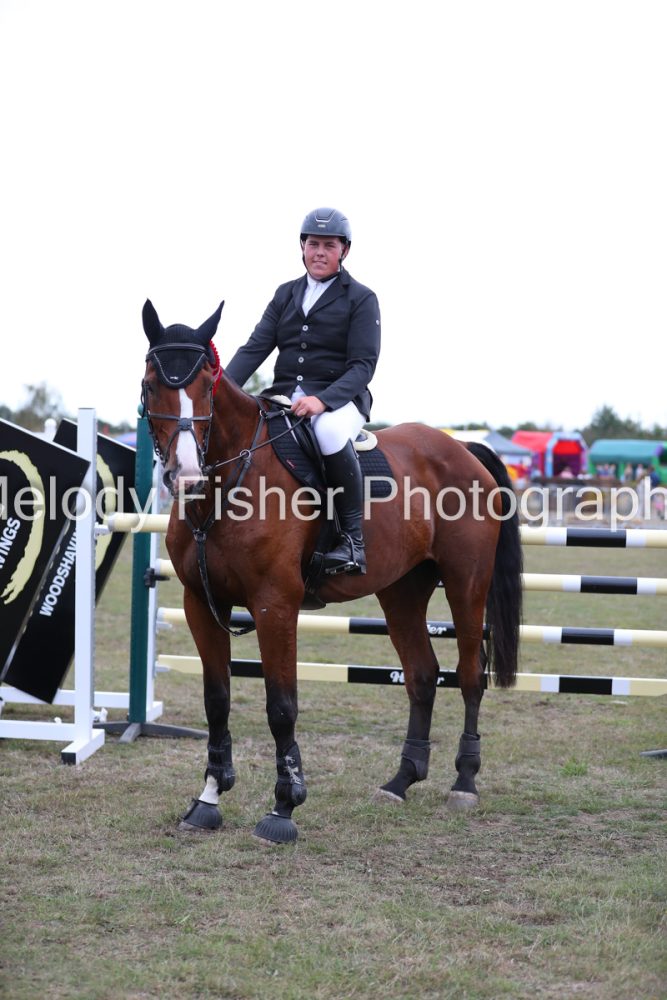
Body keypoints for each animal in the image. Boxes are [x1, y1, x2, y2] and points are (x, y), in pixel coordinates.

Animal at [140, 299, 523, 845]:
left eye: (207, 383)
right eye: (153, 383)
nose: (186, 474)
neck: (230, 483)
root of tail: (462, 450)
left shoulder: (275, 605)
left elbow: (281, 706)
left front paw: (284, 807)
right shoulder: (201, 603)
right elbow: (217, 700)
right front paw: (208, 800)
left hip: (466, 584)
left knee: (470, 675)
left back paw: (464, 783)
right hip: (401, 591)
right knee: (422, 675)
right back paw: (400, 781)